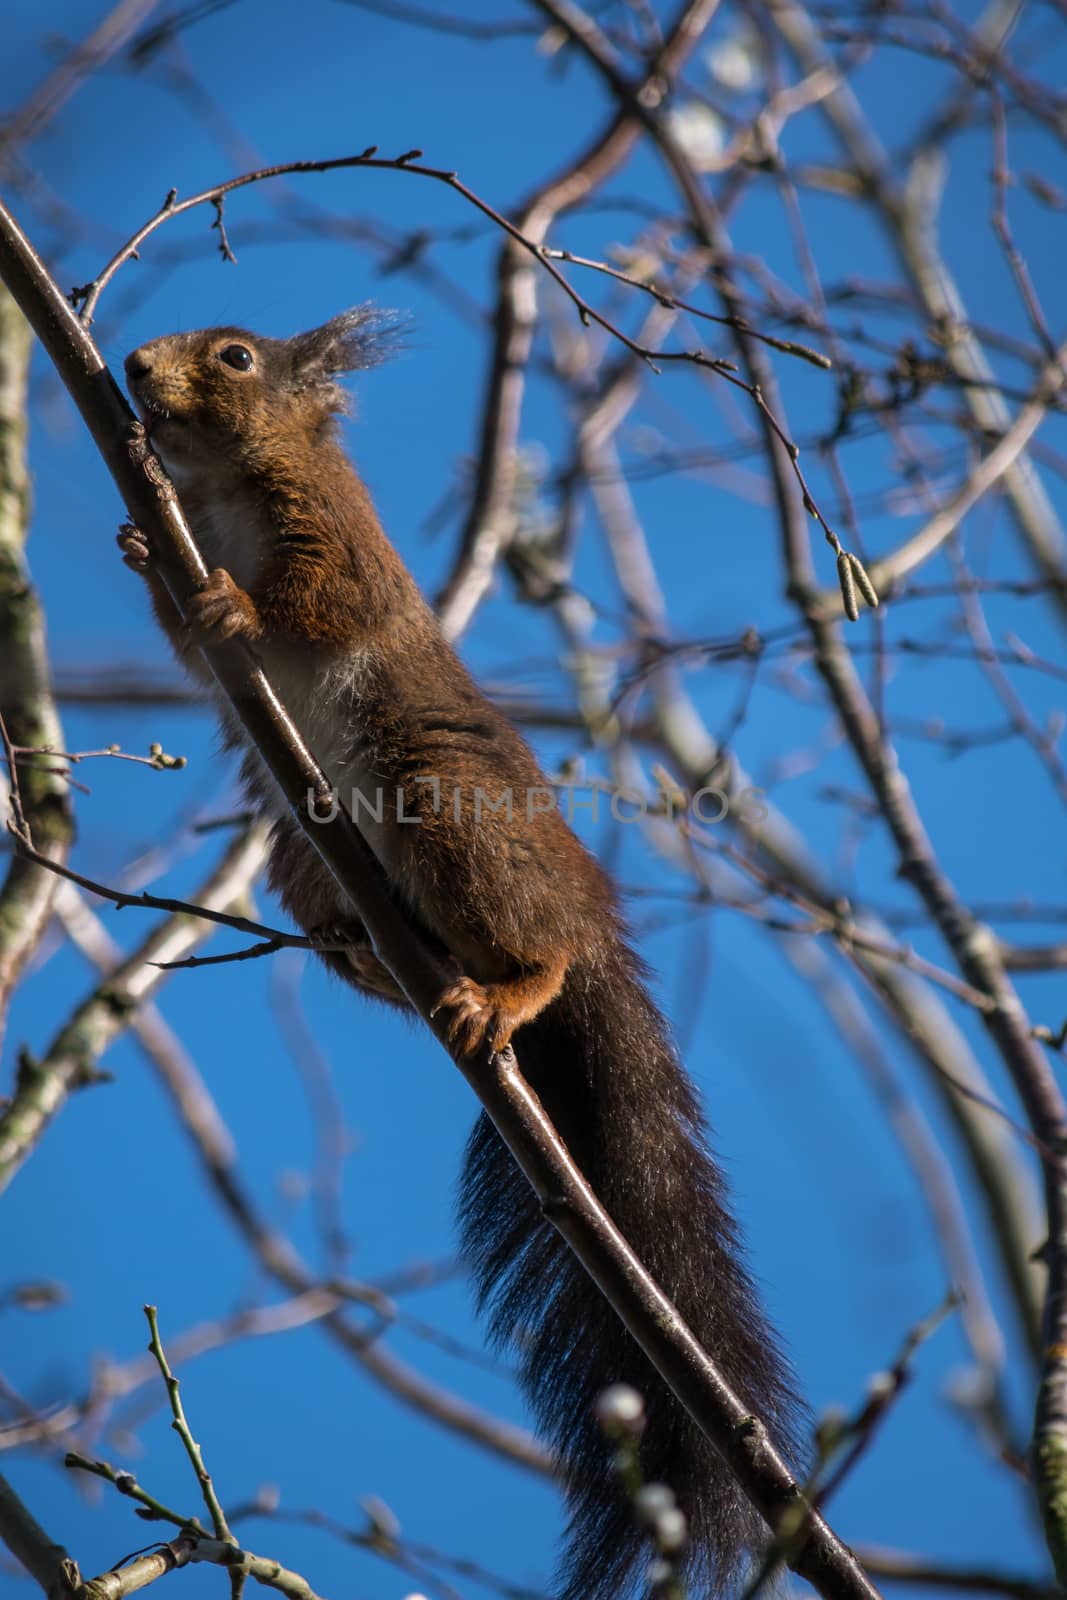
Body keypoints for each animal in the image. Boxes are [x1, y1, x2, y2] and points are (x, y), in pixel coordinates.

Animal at [119, 312, 799, 1600]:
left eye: (235, 356)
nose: (131, 368)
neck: (223, 487)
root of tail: (589, 916)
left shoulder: (337, 541)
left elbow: (317, 605)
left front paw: (236, 607)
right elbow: (182, 649)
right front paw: (143, 546)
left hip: (445, 809)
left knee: (535, 950)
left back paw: (511, 989)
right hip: (302, 861)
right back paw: (370, 945)